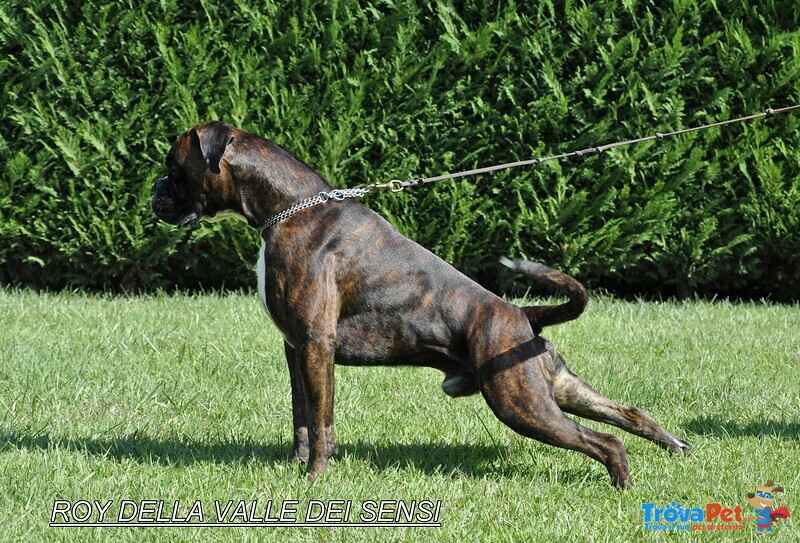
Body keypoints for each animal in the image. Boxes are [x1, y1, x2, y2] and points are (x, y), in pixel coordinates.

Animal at [153, 121, 692, 486]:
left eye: (173, 167)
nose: (154, 192)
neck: (286, 209)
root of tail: (522, 315)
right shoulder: (296, 349)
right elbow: (302, 417)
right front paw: (296, 469)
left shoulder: (315, 344)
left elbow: (322, 422)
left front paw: (315, 480)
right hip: (553, 388)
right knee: (628, 414)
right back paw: (674, 446)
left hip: (519, 401)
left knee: (605, 440)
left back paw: (623, 486)